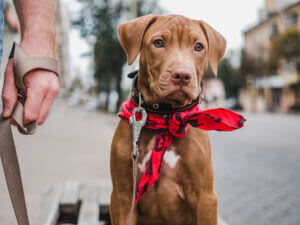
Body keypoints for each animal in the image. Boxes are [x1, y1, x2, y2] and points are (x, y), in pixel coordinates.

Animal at [110, 14, 225, 225]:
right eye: (158, 43)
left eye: (198, 46)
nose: (182, 75)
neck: (164, 117)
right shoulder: (122, 196)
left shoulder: (205, 197)